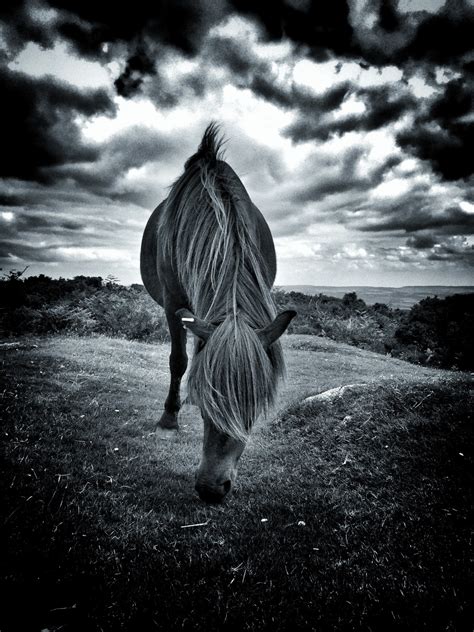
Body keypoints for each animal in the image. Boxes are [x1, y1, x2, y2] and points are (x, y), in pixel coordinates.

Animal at [141, 121, 296, 502]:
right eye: (207, 400)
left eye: (255, 404)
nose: (211, 488)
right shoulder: (174, 304)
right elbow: (179, 361)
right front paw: (169, 420)